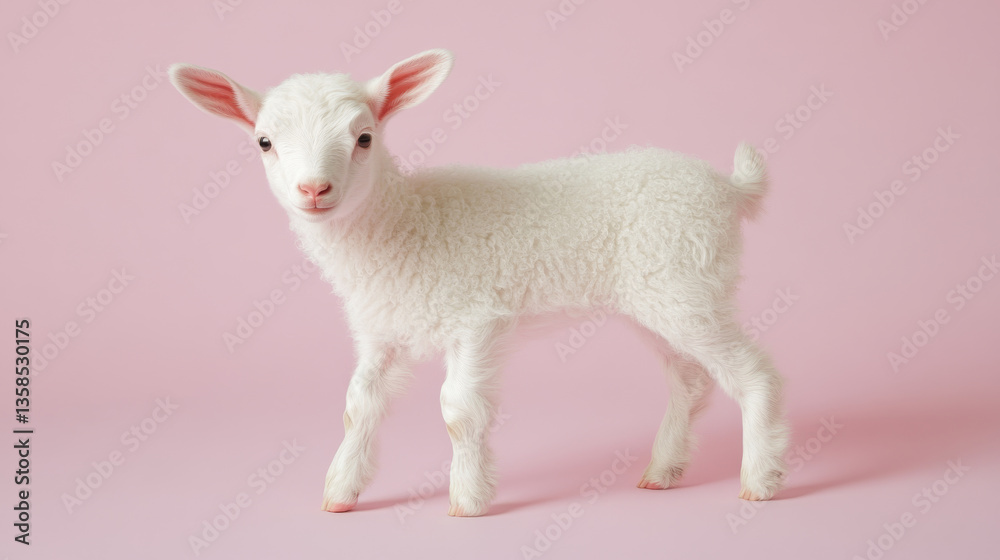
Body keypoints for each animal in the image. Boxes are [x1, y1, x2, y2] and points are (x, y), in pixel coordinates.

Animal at [169, 49, 790, 517]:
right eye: (264, 142)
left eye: (364, 138)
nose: (314, 190)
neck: (403, 224)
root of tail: (730, 188)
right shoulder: (380, 330)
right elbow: (356, 406)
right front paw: (340, 493)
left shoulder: (475, 320)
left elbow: (457, 411)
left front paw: (467, 500)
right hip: (657, 299)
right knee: (689, 380)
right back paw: (663, 471)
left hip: (689, 285)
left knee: (754, 373)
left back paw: (760, 479)